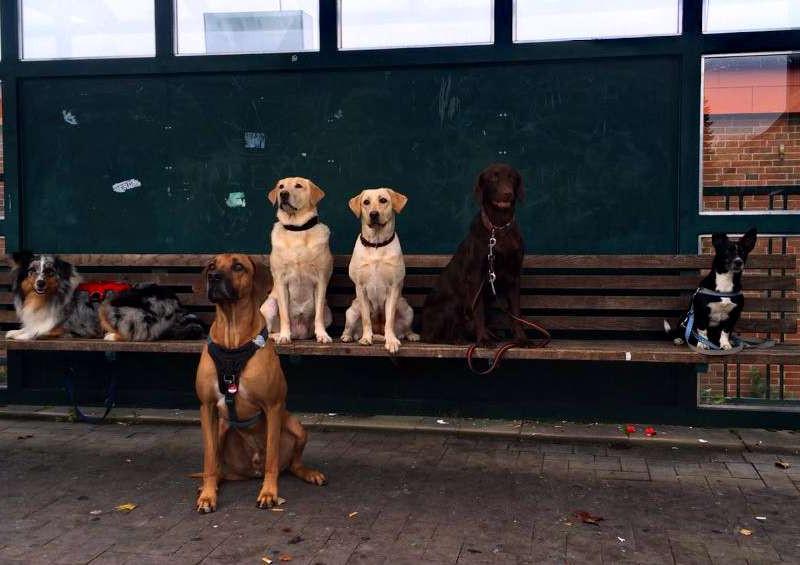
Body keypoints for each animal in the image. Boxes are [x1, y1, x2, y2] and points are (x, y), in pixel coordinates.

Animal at [262, 176, 334, 344]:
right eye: (281, 186)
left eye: (298, 186)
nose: (283, 194)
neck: (297, 229)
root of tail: (299, 334)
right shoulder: (281, 280)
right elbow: (284, 315)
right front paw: (284, 336)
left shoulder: (321, 280)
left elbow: (318, 316)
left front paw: (322, 335)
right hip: (268, 305)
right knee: (268, 331)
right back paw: (277, 336)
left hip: (328, 311)